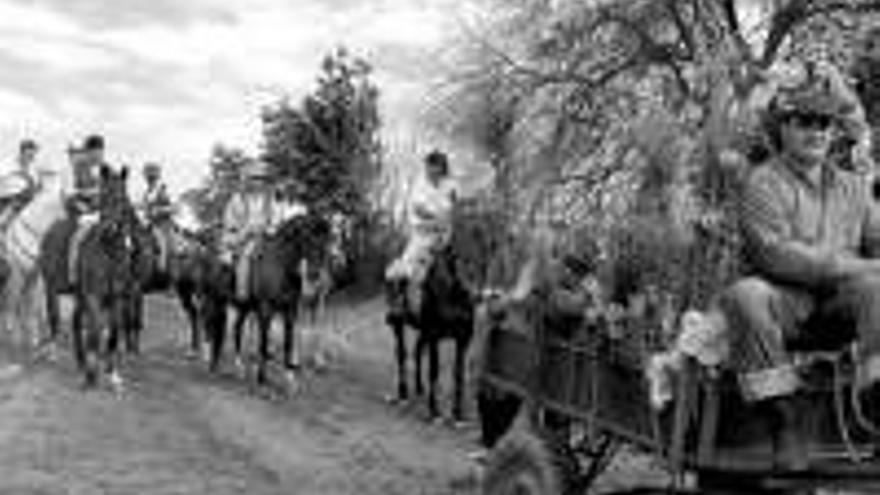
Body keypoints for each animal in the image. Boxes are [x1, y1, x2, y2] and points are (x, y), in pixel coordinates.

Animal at [0, 168, 65, 360]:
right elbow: (13, 301)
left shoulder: (34, 275)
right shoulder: (17, 273)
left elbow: (31, 305)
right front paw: (13, 335)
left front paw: (34, 339)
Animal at [384, 244, 474, 422]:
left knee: (417, 351)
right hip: (399, 326)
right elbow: (434, 371)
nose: (468, 291)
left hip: (423, 332)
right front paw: (434, 413)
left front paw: (458, 415)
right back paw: (403, 395)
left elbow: (458, 375)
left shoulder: (462, 340)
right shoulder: (434, 338)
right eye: (454, 262)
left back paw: (420, 389)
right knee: (401, 354)